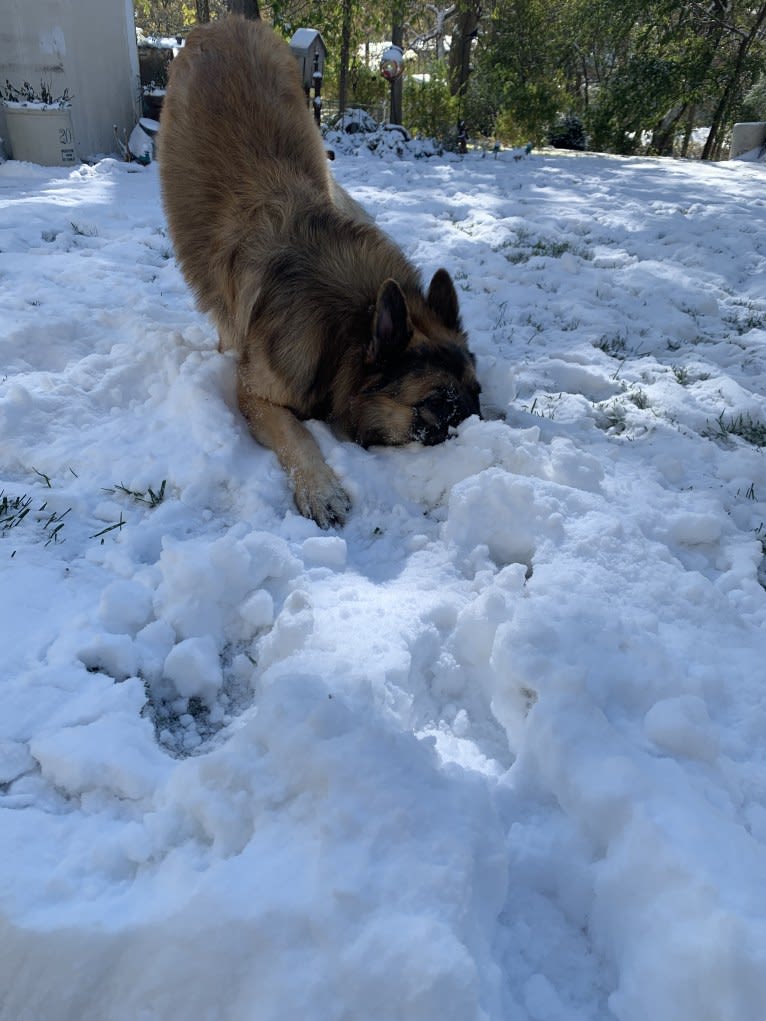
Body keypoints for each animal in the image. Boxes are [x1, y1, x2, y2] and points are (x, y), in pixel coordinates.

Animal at [159, 15, 480, 526]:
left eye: (479, 393)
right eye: (436, 405)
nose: (483, 437)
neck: (347, 324)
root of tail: (223, 23)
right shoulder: (256, 396)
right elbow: (298, 433)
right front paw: (321, 488)